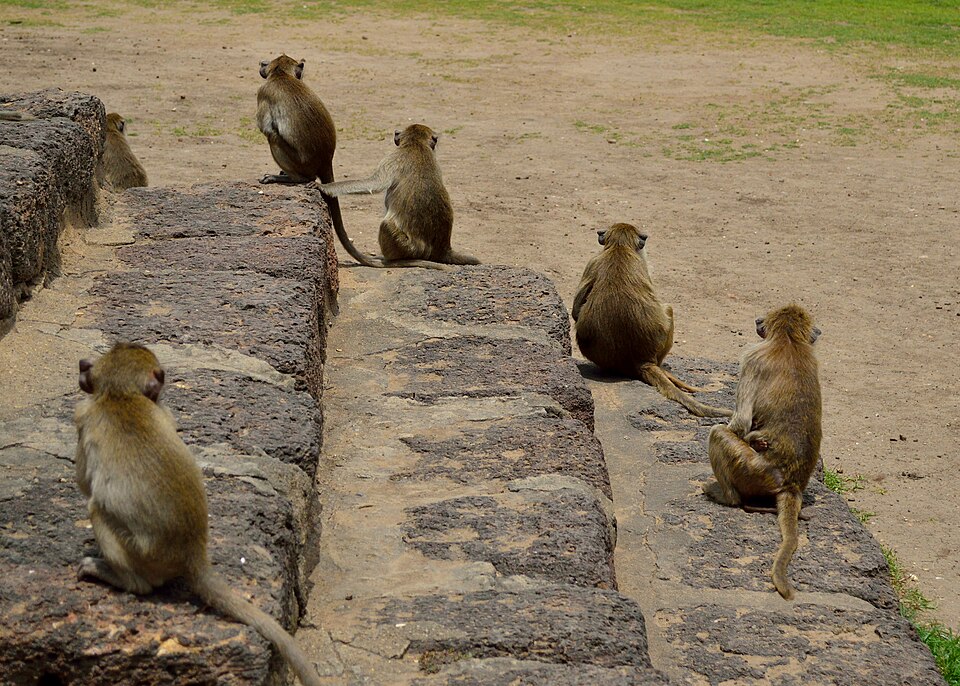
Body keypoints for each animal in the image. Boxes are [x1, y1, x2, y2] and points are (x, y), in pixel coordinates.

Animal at [74, 343, 322, 686]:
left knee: (98, 511)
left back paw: (117, 577)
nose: (83, 364)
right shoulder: (164, 413)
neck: (121, 395)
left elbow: (84, 482)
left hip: (142, 554)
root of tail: (192, 554)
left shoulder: (83, 415)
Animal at [318, 124, 480, 269]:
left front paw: (325, 187)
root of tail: (443, 249)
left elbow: (374, 183)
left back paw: (389, 260)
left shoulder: (392, 158)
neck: (417, 144)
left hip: (406, 247)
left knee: (386, 225)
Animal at [572, 223, 732, 418]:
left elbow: (576, 311)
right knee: (669, 309)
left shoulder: (593, 260)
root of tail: (639, 360)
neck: (620, 247)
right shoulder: (607, 260)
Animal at [702, 303, 823, 600]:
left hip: (752, 471)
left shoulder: (751, 357)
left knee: (718, 434)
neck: (789, 341)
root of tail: (791, 484)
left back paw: (728, 498)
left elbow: (740, 423)